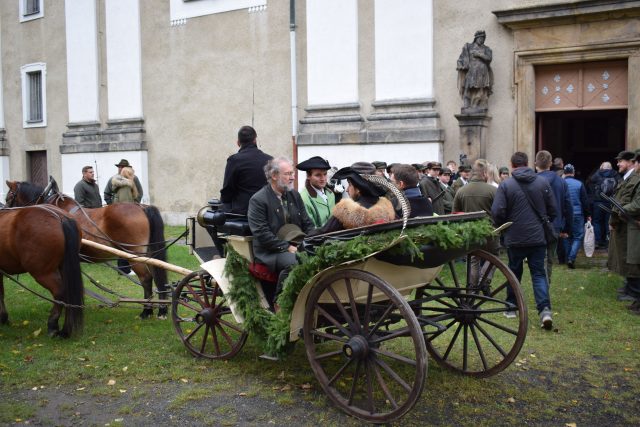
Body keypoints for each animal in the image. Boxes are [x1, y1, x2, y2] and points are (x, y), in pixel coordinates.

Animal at [7, 179, 168, 320]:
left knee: (146, 278)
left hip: (134, 255)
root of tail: (142, 207)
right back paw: (162, 310)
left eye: (9, 196)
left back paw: (146, 311)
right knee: (158, 276)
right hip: (148, 254)